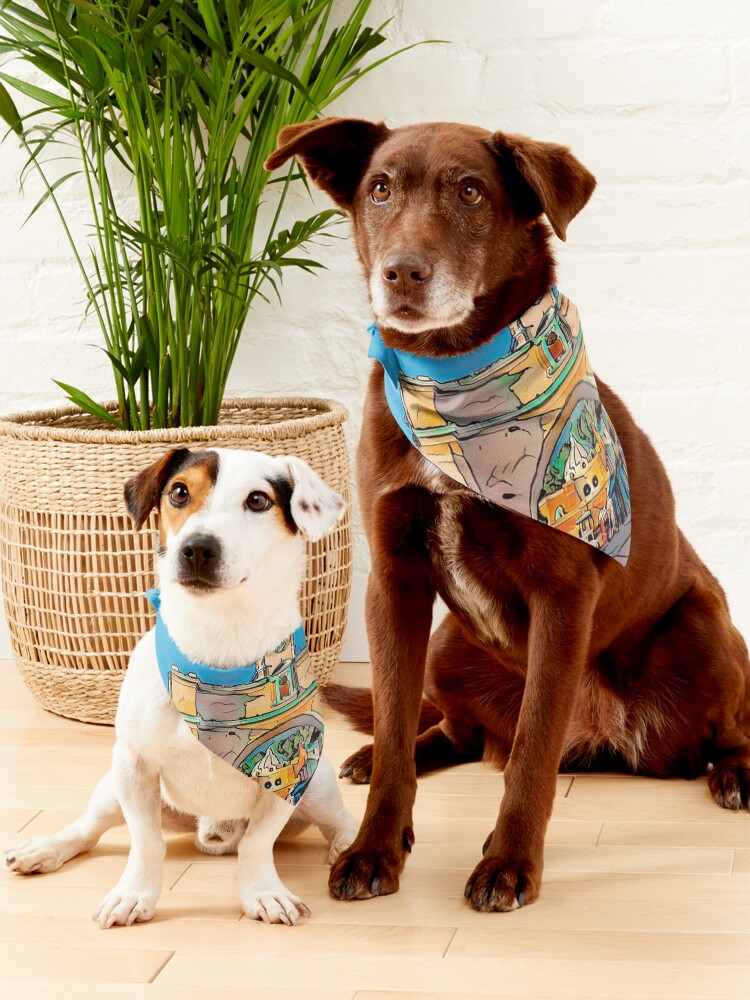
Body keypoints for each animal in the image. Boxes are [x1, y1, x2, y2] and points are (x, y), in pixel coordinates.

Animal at [5, 450, 358, 924]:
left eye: (258, 500)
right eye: (179, 492)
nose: (198, 547)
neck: (218, 642)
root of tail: (213, 829)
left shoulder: (291, 774)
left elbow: (257, 844)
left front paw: (263, 893)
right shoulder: (133, 765)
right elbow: (146, 843)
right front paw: (134, 894)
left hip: (316, 785)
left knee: (340, 820)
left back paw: (350, 849)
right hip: (112, 788)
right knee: (89, 828)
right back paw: (46, 848)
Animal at [266, 121, 750, 912]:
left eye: (470, 191)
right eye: (380, 188)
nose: (402, 273)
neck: (451, 374)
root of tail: (611, 740)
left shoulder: (562, 597)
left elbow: (530, 753)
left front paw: (508, 863)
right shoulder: (393, 581)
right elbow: (397, 722)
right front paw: (374, 847)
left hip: (703, 632)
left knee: (728, 725)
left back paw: (735, 773)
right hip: (448, 647)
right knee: (454, 730)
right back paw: (379, 754)